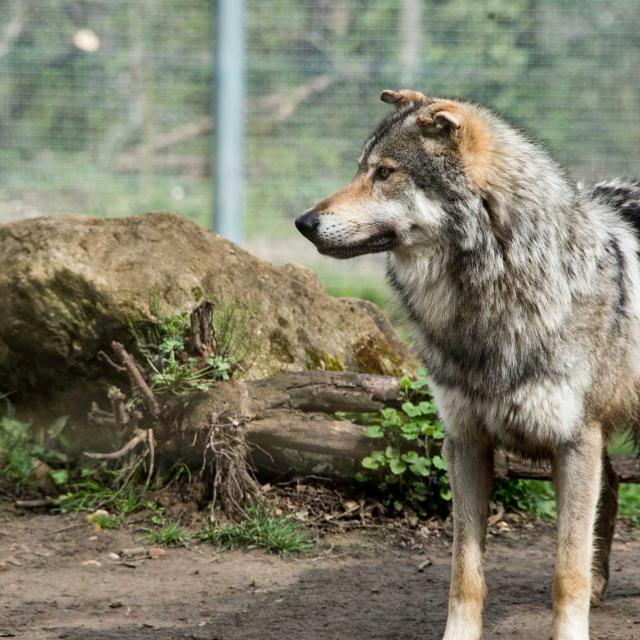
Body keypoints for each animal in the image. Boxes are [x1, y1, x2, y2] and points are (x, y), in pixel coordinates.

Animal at [298, 90, 640, 640]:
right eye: (360, 170)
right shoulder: (466, 442)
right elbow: (465, 571)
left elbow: (565, 571)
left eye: (385, 173)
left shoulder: (574, 440)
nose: (303, 222)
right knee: (610, 487)